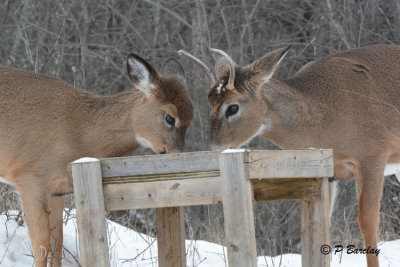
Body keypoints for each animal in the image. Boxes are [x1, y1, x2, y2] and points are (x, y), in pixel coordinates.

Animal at [0, 53, 194, 266]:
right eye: (170, 118)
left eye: (191, 116)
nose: (178, 154)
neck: (79, 131)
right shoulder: (31, 178)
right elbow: (41, 245)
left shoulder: (59, 191)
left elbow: (57, 243)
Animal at [180, 45, 400, 267]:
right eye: (209, 105)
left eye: (232, 107)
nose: (214, 149)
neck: (326, 115)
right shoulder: (328, 172)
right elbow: (322, 227)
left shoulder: (373, 155)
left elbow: (367, 221)